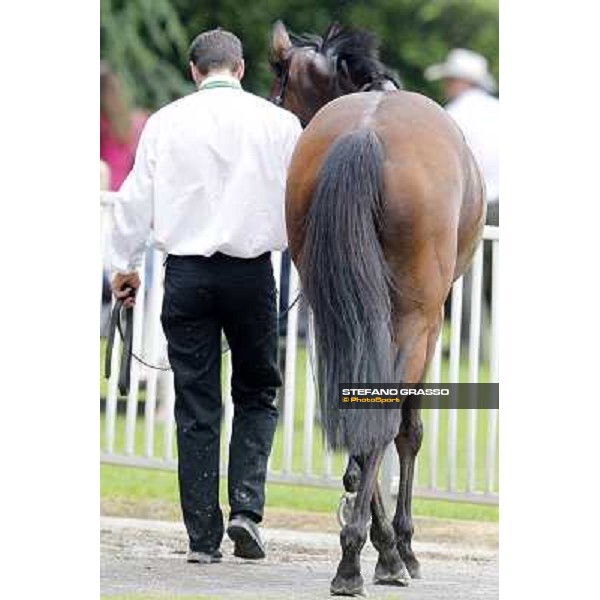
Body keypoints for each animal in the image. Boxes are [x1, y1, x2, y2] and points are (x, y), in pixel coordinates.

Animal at [270, 22, 486, 596]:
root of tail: (364, 134)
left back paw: (360, 551)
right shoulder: (430, 324)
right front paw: (401, 548)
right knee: (389, 419)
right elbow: (407, 431)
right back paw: (369, 559)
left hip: (338, 312)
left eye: (280, 90)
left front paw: (367, 524)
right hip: (415, 319)